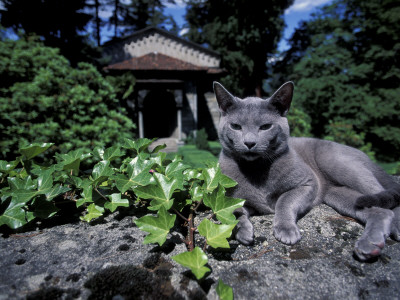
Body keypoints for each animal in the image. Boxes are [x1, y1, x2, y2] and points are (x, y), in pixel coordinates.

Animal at [214, 81, 398, 260]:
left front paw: (286, 230)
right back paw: (370, 246)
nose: (249, 143)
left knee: (386, 198)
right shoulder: (231, 197)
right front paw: (243, 231)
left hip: (341, 166)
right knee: (381, 211)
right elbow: (231, 212)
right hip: (339, 195)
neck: (256, 170)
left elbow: (285, 200)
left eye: (265, 127)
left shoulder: (307, 183)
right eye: (236, 126)